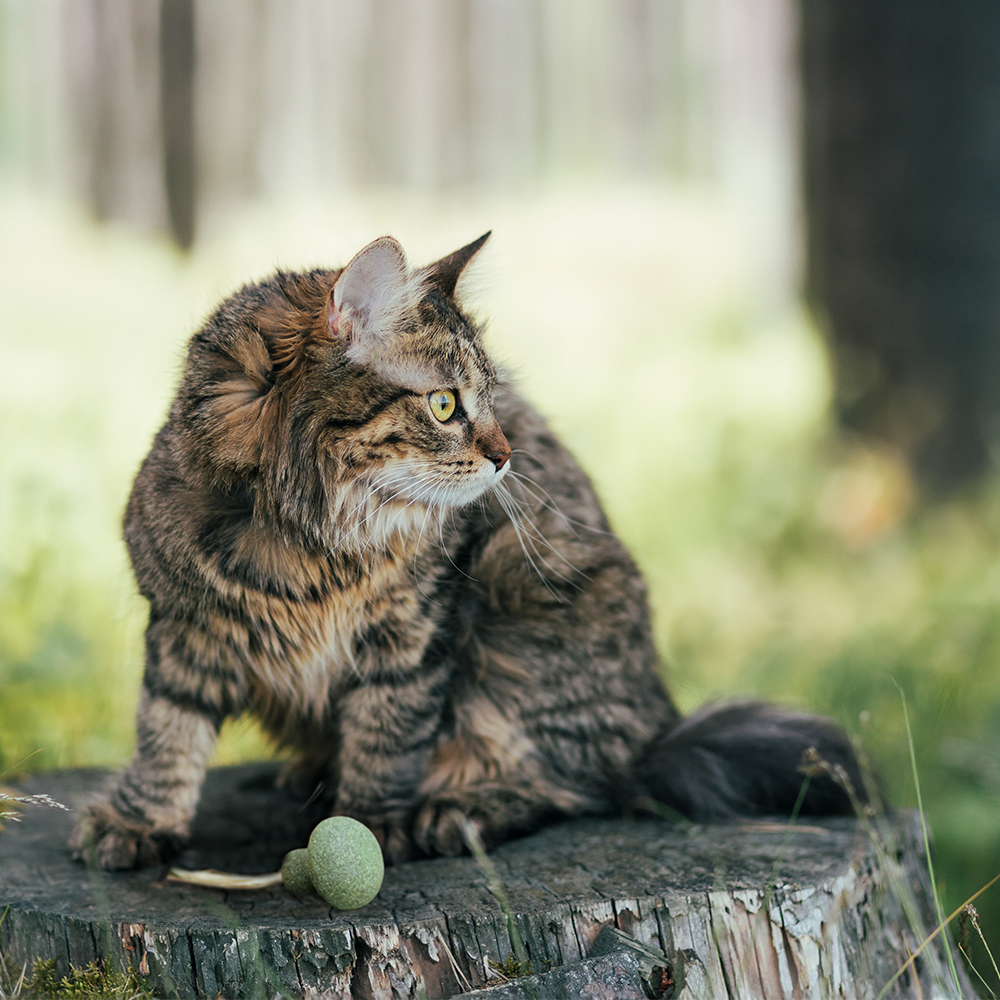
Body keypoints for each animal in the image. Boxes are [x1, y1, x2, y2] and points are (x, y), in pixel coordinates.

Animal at [68, 232, 868, 868]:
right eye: (446, 404)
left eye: (492, 396)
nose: (505, 456)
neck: (311, 542)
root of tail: (657, 734)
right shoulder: (184, 628)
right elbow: (166, 733)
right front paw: (140, 822)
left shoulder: (413, 637)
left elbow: (388, 733)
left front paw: (372, 822)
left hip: (525, 617)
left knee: (577, 785)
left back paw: (459, 808)